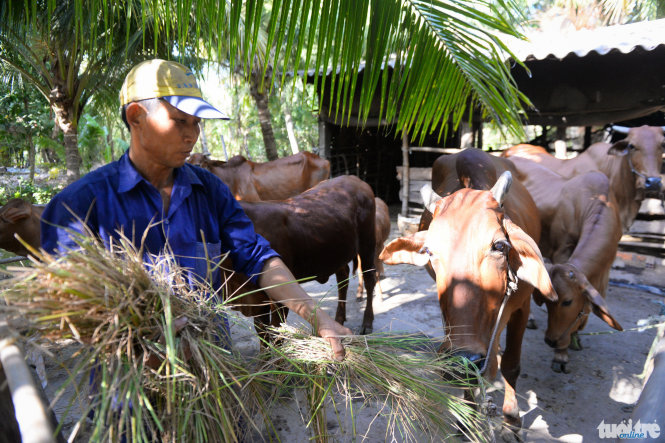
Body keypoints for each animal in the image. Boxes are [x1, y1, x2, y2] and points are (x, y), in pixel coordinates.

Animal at [226, 173, 376, 336]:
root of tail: (353, 178)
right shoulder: (257, 301)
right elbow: (263, 332)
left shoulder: (278, 295)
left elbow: (277, 331)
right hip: (338, 251)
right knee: (343, 278)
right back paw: (339, 320)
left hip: (368, 243)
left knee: (369, 278)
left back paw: (367, 323)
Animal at [378, 173, 556, 438]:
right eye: (429, 251)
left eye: (499, 246)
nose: (463, 359)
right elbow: (470, 379)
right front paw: (467, 421)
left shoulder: (522, 307)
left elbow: (511, 366)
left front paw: (511, 419)